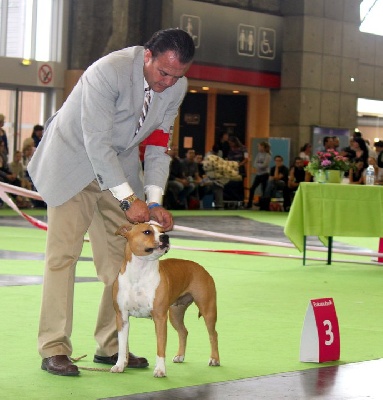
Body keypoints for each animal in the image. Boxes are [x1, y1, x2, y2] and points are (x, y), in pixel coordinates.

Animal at [109, 220, 220, 376]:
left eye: (163, 231)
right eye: (147, 232)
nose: (165, 237)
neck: (139, 273)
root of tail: (201, 268)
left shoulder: (160, 317)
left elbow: (160, 347)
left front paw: (160, 370)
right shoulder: (122, 317)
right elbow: (122, 345)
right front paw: (119, 365)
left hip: (208, 309)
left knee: (213, 334)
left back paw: (214, 359)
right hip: (175, 313)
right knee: (183, 331)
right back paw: (180, 356)